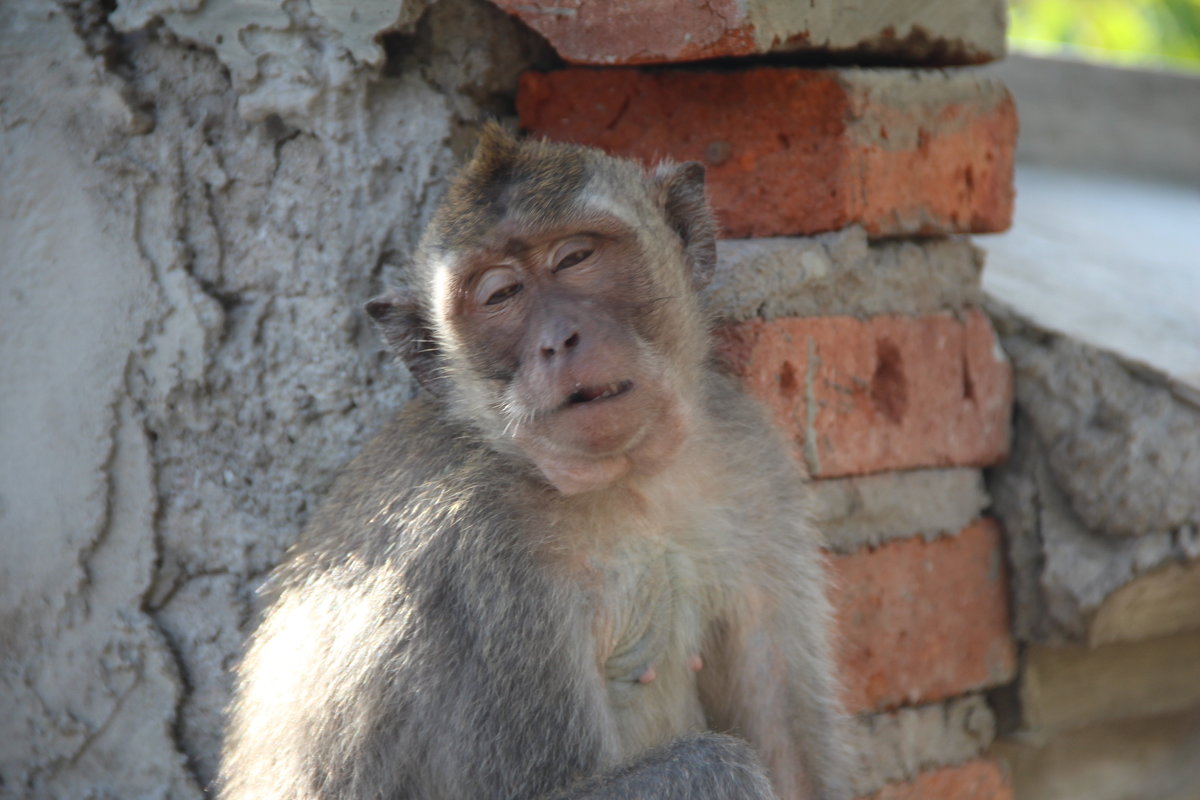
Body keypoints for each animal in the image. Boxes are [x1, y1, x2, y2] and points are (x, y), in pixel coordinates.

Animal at [218, 123, 854, 800]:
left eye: (575, 258)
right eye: (500, 295)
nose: (559, 340)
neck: (627, 486)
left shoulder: (750, 459)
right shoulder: (478, 563)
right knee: (712, 764)